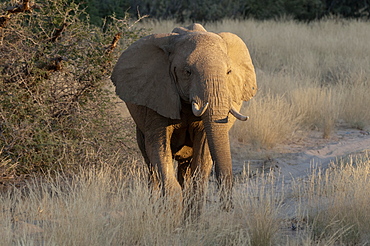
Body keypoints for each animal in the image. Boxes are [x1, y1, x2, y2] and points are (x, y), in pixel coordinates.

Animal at [111, 23, 258, 210]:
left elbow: (202, 156)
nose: (227, 208)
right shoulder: (157, 93)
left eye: (229, 72)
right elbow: (159, 148)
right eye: (187, 72)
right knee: (151, 166)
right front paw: (170, 211)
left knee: (185, 168)